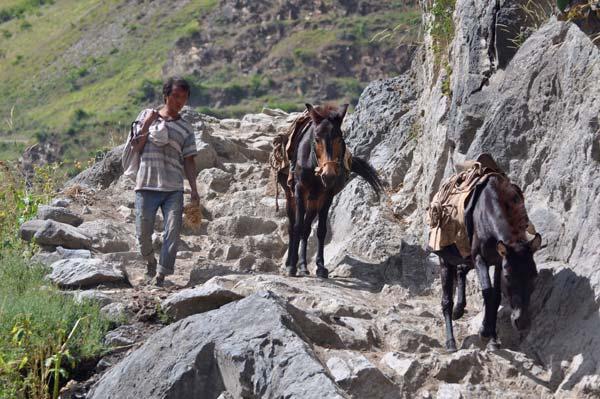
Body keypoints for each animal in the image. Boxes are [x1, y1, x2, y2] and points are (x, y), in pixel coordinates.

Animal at [278, 101, 384, 280]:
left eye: (340, 139)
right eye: (316, 139)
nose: (328, 175)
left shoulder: (327, 196)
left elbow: (321, 230)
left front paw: (320, 267)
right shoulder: (299, 191)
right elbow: (297, 227)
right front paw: (291, 266)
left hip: (314, 201)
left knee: (306, 229)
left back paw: (303, 266)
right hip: (290, 196)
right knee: (293, 228)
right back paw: (289, 264)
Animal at [432, 173, 544, 352]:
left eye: (534, 276)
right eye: (509, 276)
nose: (522, 323)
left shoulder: (498, 261)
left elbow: (496, 296)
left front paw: (492, 339)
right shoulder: (480, 258)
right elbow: (488, 292)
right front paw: (485, 332)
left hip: (466, 257)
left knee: (461, 270)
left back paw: (459, 309)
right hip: (445, 259)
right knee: (446, 300)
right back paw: (450, 342)